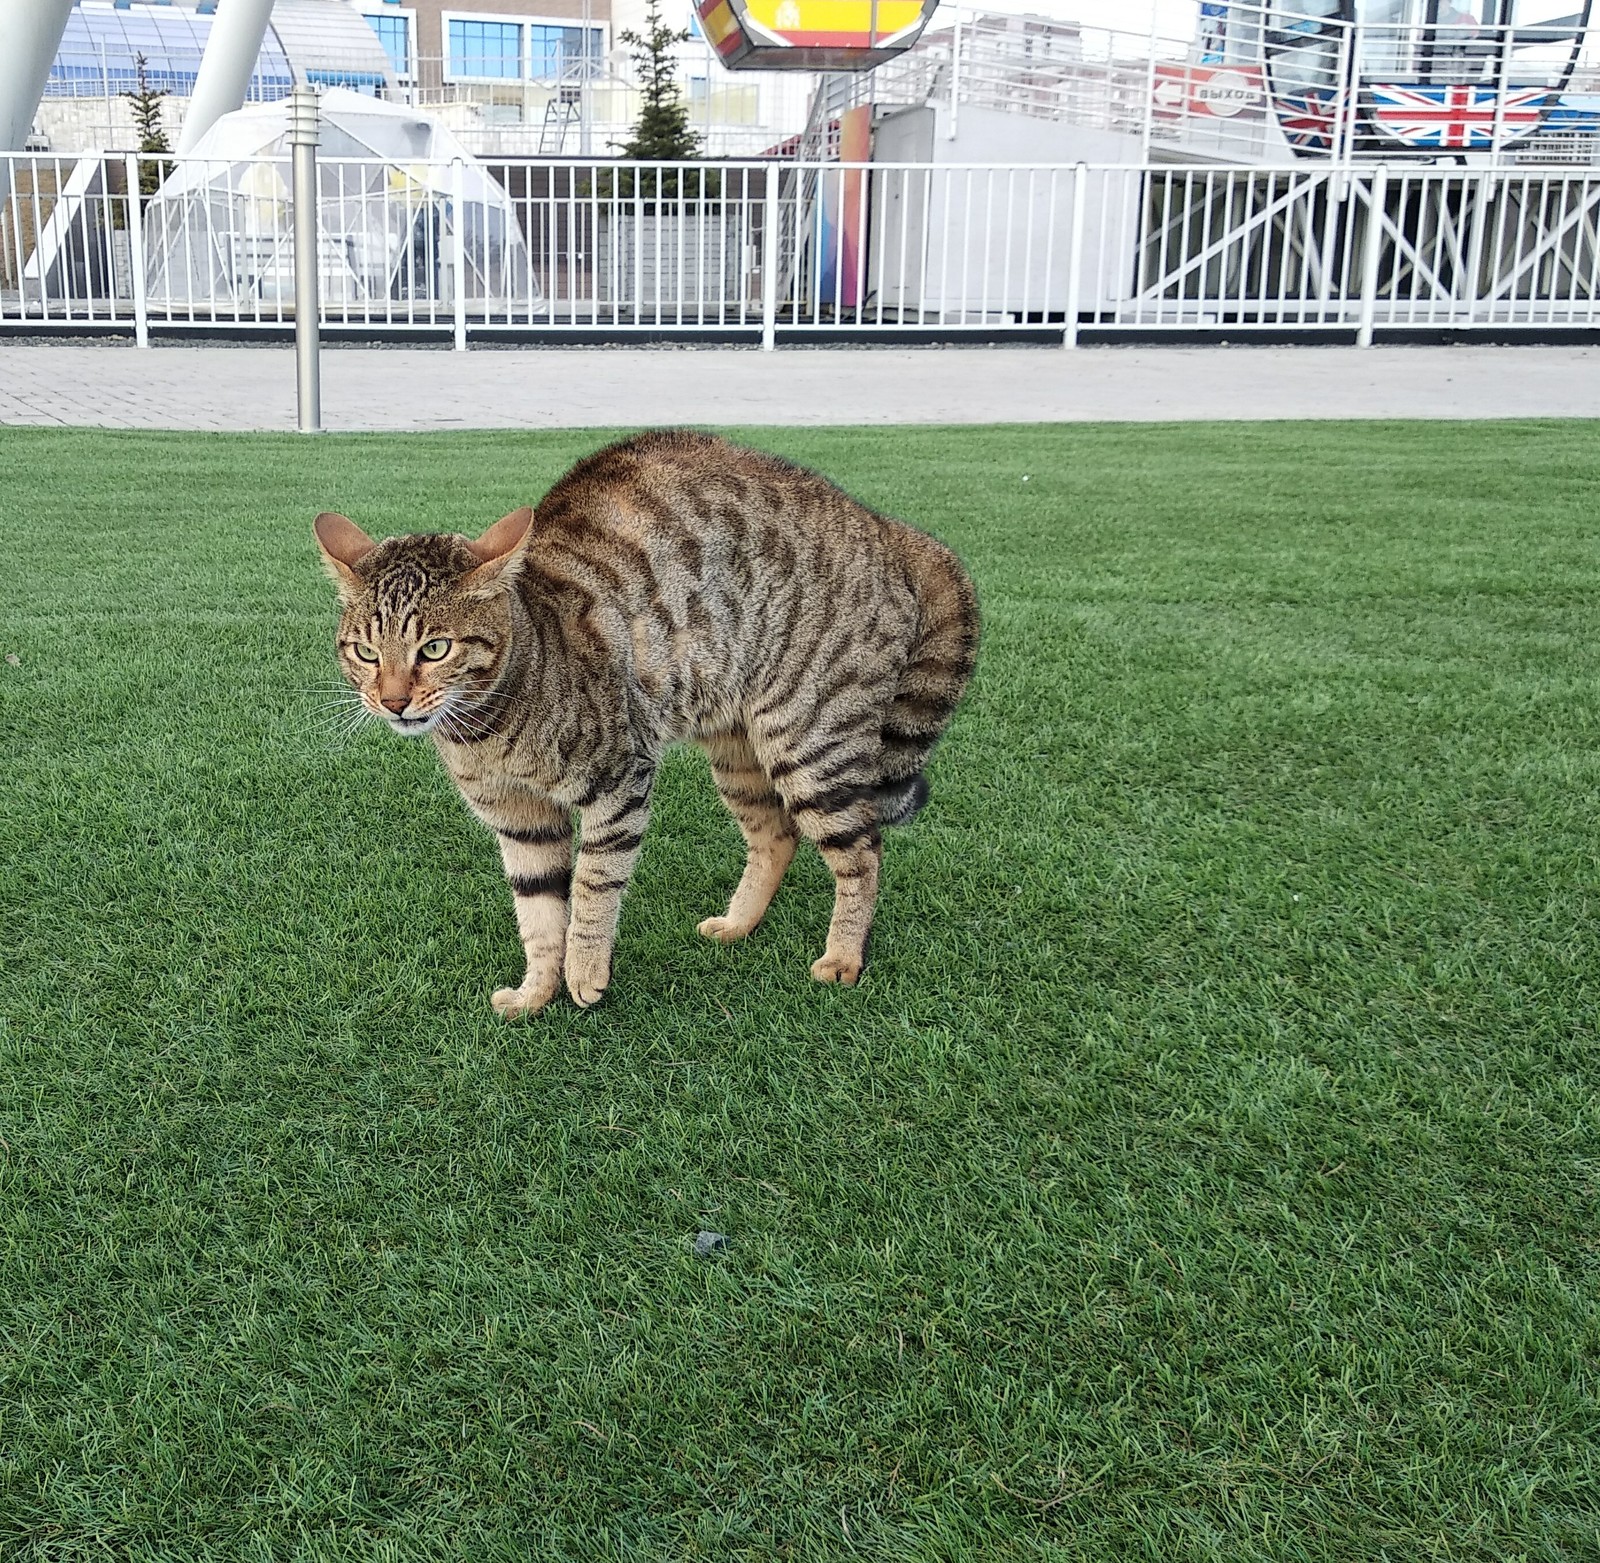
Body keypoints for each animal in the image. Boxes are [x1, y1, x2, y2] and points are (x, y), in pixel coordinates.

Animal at [312, 428, 972, 1011]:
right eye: (365, 652)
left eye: (434, 649)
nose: (393, 701)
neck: (488, 735)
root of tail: (885, 525)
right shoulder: (521, 821)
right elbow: (538, 910)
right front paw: (536, 992)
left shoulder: (619, 781)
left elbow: (592, 886)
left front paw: (583, 972)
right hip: (736, 750)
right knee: (777, 834)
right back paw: (739, 924)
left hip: (810, 743)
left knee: (864, 850)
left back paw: (844, 956)